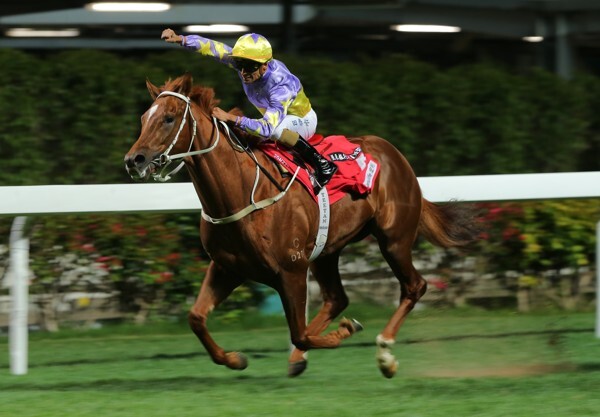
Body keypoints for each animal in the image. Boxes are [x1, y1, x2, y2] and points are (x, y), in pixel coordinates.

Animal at [124, 74, 480, 376]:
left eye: (169, 118)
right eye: (143, 118)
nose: (134, 160)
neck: (241, 193)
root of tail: (396, 155)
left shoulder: (291, 269)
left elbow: (300, 333)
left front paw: (345, 331)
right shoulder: (228, 267)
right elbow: (196, 318)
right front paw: (235, 359)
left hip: (393, 239)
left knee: (414, 286)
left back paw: (385, 354)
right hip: (327, 251)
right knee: (337, 298)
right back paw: (303, 357)